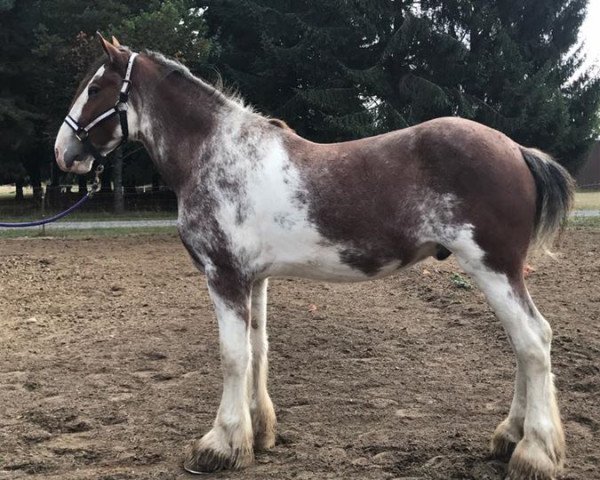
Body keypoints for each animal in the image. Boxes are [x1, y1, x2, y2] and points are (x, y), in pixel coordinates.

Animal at [55, 34, 572, 480]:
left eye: (95, 88)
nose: (64, 153)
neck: (218, 154)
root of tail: (516, 149)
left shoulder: (223, 276)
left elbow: (232, 356)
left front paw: (221, 444)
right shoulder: (253, 279)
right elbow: (257, 348)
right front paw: (258, 433)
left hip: (492, 267)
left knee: (533, 340)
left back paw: (533, 452)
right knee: (524, 345)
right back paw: (510, 437)